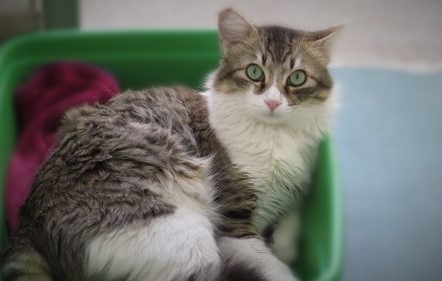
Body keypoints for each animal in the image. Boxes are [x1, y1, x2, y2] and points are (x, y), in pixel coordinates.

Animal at [2, 7, 342, 280]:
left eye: (297, 78)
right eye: (254, 72)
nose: (272, 102)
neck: (275, 136)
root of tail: (28, 220)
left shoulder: (291, 192)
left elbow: (289, 227)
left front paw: (286, 242)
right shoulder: (234, 225)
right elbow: (274, 267)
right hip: (184, 237)